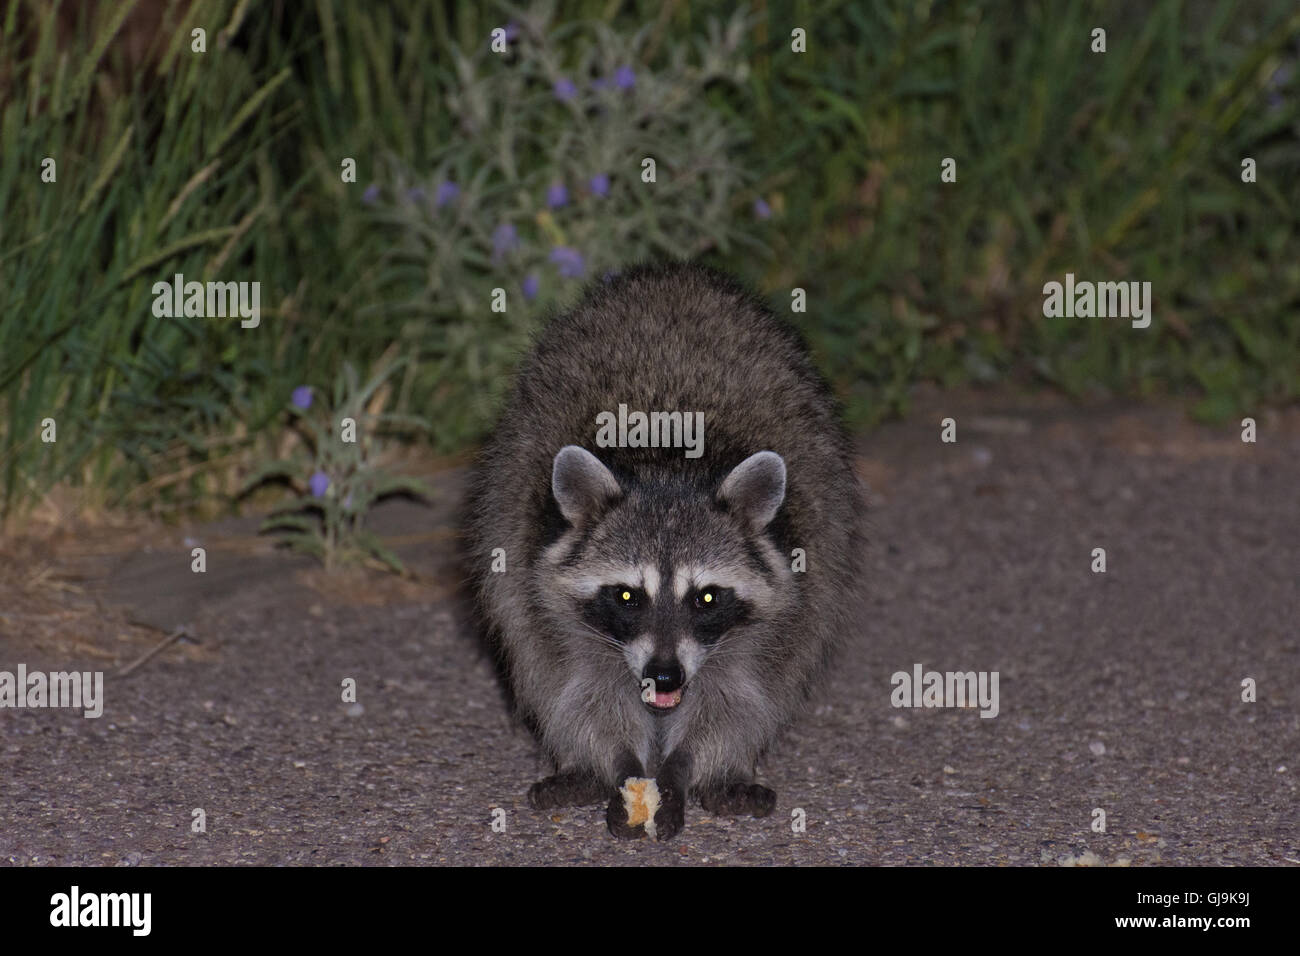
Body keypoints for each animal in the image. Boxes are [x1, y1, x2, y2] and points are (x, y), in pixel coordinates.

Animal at [465, 261, 863, 837]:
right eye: (628, 596)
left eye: (707, 597)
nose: (666, 675)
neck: (668, 464)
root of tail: (673, 273)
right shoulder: (535, 580)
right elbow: (580, 690)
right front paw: (617, 764)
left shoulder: (787, 599)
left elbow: (737, 698)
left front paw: (685, 769)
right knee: (539, 667)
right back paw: (580, 765)